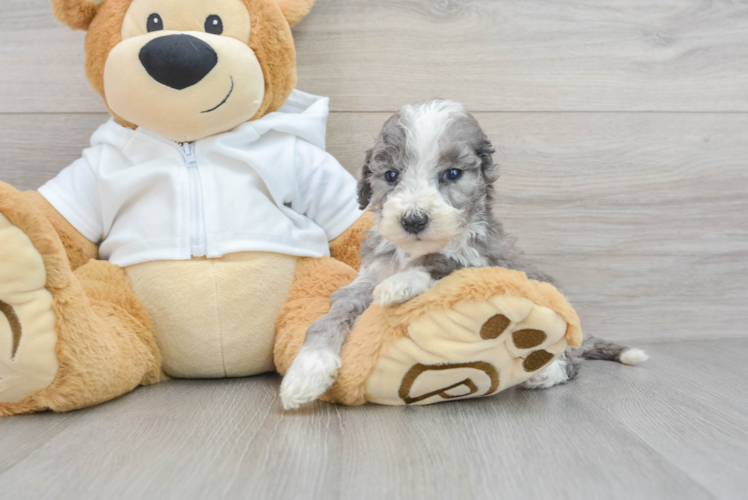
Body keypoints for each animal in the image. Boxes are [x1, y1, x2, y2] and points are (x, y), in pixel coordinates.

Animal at [280, 98, 648, 410]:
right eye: (391, 175)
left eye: (452, 174)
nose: (413, 219)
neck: (415, 250)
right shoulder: (365, 279)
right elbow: (330, 316)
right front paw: (307, 371)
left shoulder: (480, 260)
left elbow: (441, 265)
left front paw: (401, 285)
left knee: (571, 363)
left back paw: (543, 373)